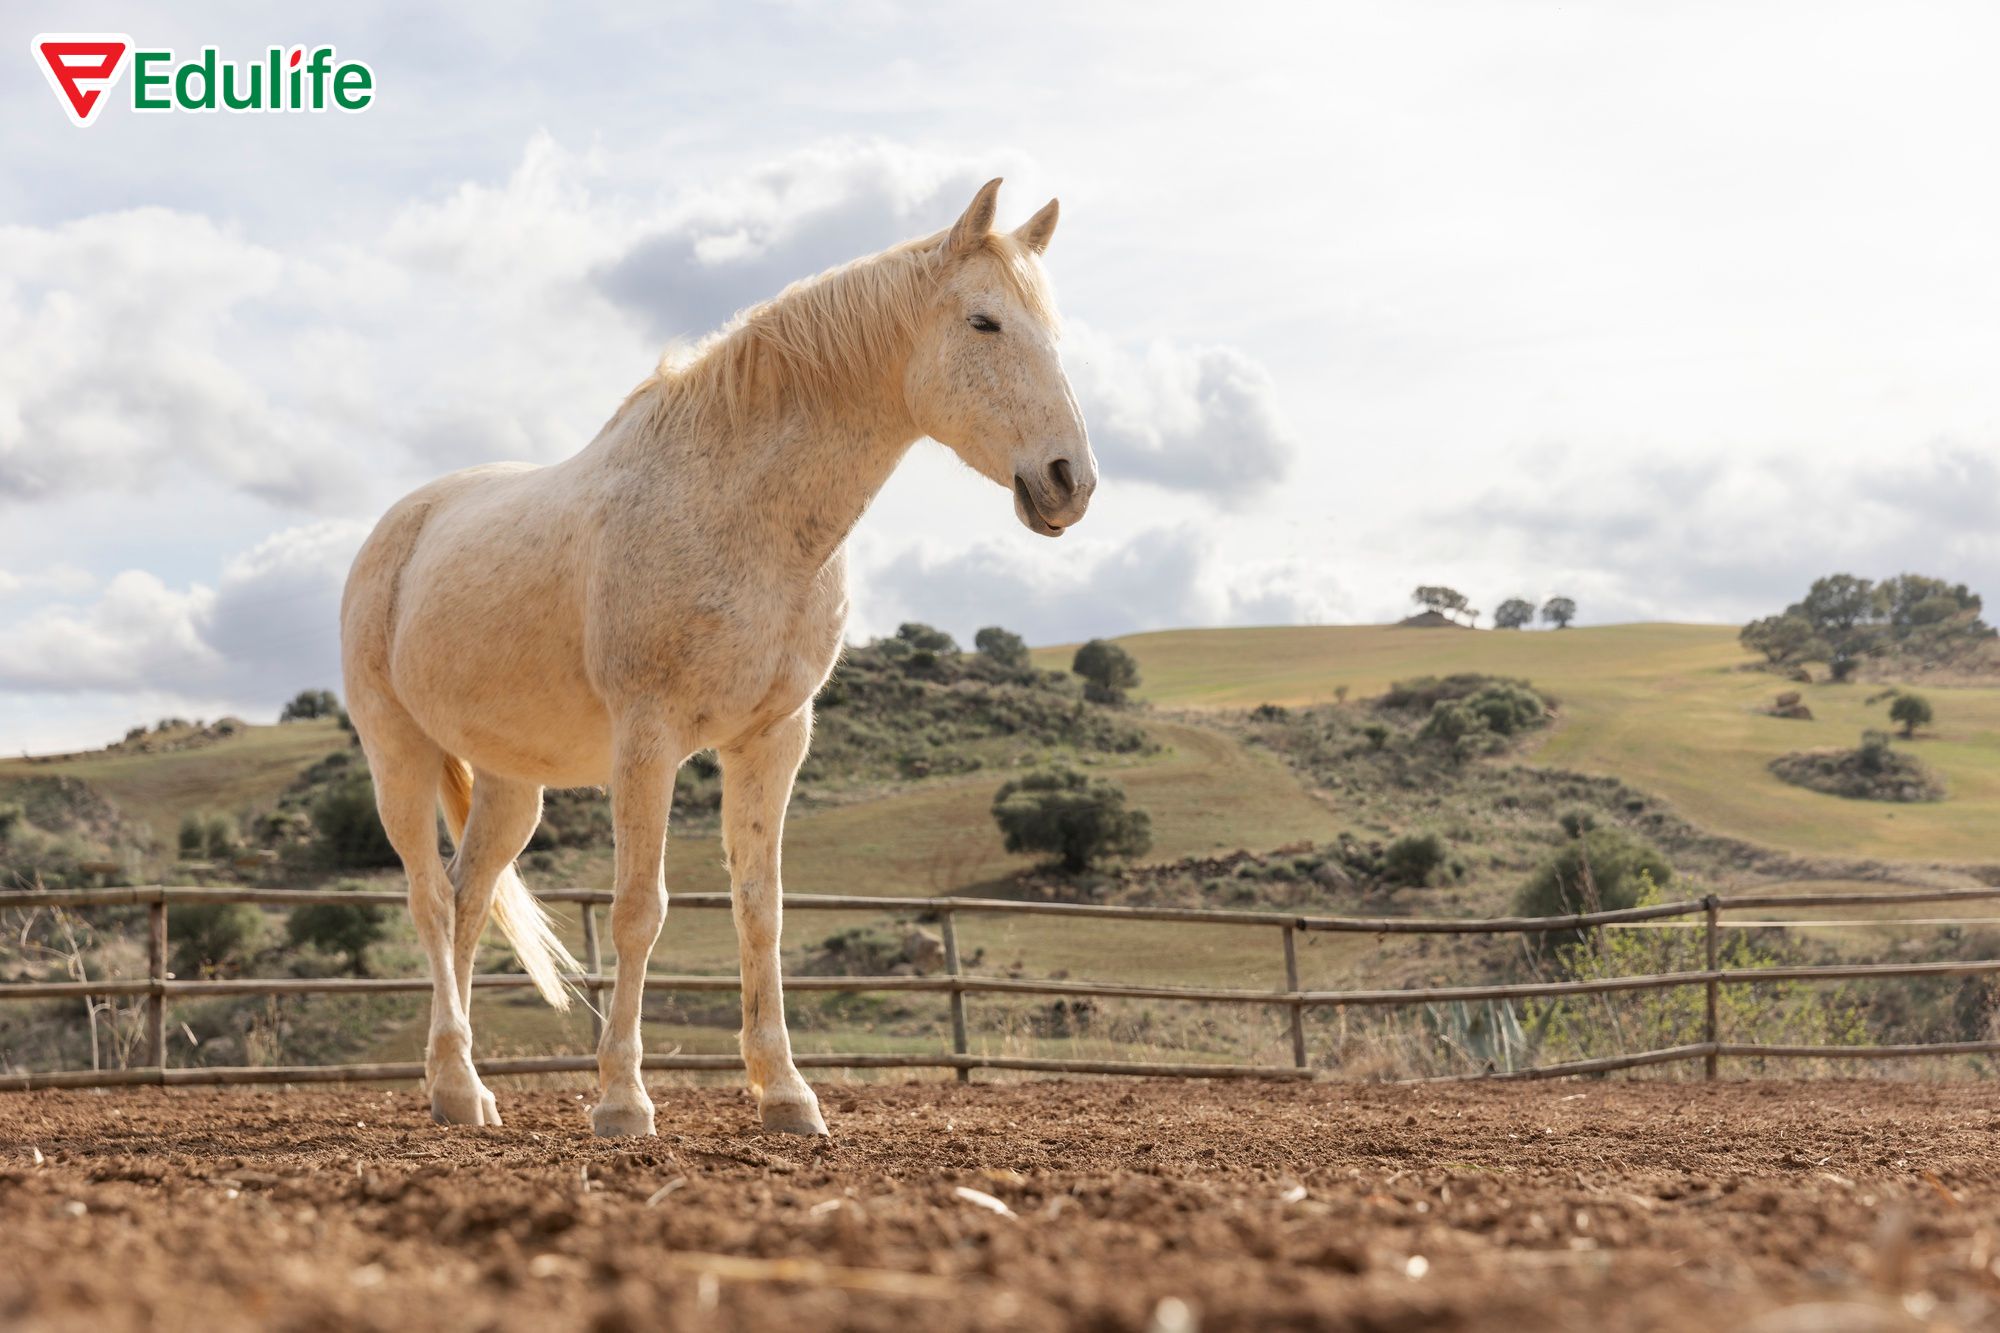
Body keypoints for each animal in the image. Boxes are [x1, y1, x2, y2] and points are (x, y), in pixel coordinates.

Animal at [344, 176, 1096, 1128]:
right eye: (985, 322)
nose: (1071, 480)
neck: (739, 509)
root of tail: (402, 524)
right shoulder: (648, 739)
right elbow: (639, 908)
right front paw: (623, 1100)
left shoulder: (773, 738)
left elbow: (759, 911)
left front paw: (787, 1093)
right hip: (398, 755)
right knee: (431, 901)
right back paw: (455, 1084)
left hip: (514, 784)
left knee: (471, 897)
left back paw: (465, 1087)